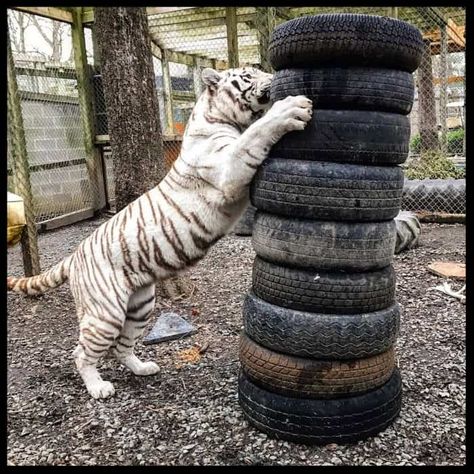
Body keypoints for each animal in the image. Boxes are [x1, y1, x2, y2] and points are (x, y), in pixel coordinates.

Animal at [7, 67, 312, 400]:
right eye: (248, 75)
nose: (271, 77)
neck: (219, 117)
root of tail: (75, 254)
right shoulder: (229, 168)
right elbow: (256, 133)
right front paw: (291, 108)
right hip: (105, 312)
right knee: (81, 353)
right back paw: (98, 387)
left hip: (140, 306)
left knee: (121, 347)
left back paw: (143, 368)